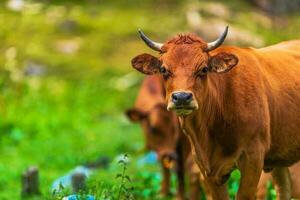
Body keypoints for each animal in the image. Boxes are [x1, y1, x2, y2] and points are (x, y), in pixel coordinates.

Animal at [132, 27, 300, 200]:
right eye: (164, 69)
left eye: (204, 69)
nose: (182, 97)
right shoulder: (205, 165)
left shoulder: (254, 158)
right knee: (284, 188)